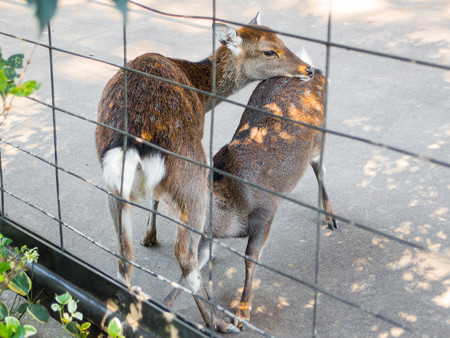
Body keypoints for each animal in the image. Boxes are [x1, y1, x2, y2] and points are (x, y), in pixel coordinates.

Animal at [95, 14, 312, 334]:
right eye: (269, 51)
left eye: (282, 40)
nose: (308, 69)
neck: (200, 93)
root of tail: (134, 143)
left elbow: (155, 198)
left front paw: (149, 236)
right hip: (192, 175)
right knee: (185, 253)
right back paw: (220, 322)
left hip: (111, 183)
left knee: (124, 255)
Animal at [148, 62, 338, 330]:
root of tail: (318, 71)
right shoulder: (209, 234)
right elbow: (195, 264)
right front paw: (165, 303)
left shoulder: (265, 213)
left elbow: (250, 258)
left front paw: (242, 314)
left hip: (319, 139)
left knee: (320, 167)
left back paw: (330, 217)